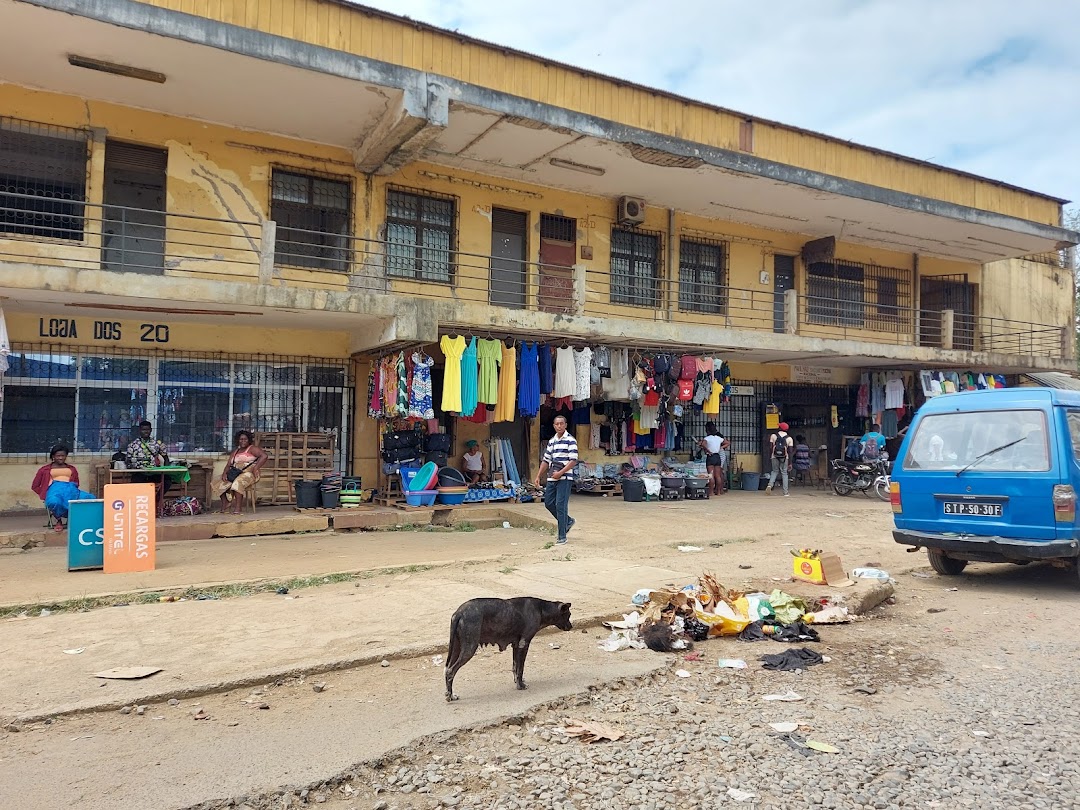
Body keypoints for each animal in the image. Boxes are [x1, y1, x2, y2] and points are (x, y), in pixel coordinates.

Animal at [442, 596, 574, 704]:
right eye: (568, 615)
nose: (571, 626)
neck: (541, 609)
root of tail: (459, 613)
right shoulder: (523, 645)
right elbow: (520, 668)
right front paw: (521, 685)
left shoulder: (516, 646)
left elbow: (515, 667)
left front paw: (517, 682)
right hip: (469, 649)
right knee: (451, 671)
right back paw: (450, 696)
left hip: (457, 649)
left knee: (448, 669)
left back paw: (450, 694)